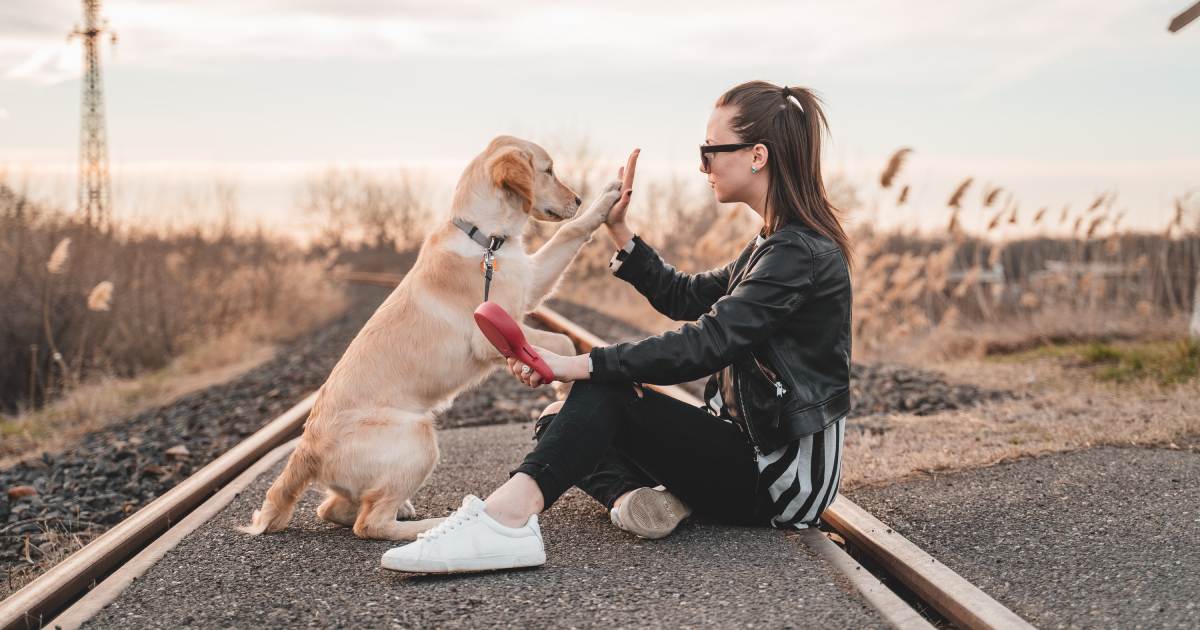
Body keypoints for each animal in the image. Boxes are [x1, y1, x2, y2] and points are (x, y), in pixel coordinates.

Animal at [240, 135, 624, 537]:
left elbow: (570, 232)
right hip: (419, 436)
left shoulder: (530, 282)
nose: (578, 199)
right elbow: (561, 342)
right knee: (369, 523)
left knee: (332, 509)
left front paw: (605, 200)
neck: (486, 240)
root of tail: (305, 450)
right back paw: (436, 523)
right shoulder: (490, 333)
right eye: (548, 170)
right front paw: (563, 388)